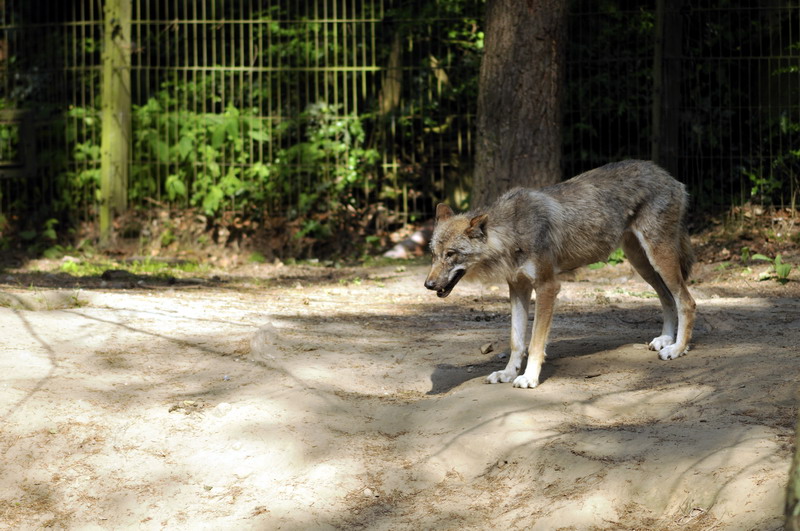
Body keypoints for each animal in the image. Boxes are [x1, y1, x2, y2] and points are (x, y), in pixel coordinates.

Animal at [424, 160, 696, 389]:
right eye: (433, 254)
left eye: (451, 254)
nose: (428, 284)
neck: (512, 232)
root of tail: (670, 177)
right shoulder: (518, 288)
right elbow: (516, 341)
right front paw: (508, 373)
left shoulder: (547, 287)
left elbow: (535, 342)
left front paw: (529, 378)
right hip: (642, 264)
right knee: (667, 297)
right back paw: (666, 339)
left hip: (659, 259)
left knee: (687, 301)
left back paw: (677, 349)